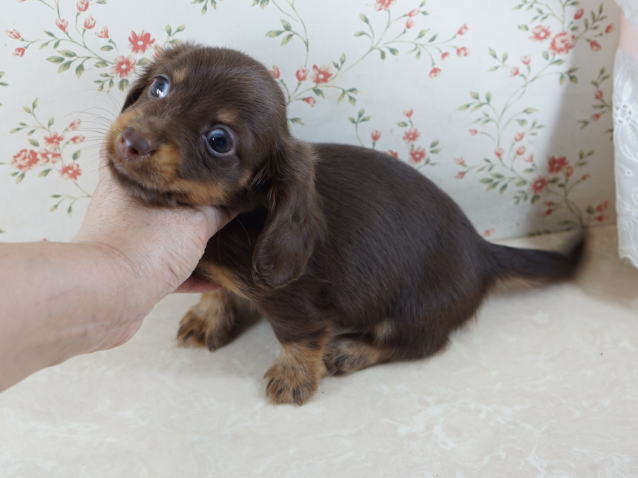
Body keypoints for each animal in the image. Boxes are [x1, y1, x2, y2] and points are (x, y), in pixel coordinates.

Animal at [107, 44, 588, 406]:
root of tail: (483, 250)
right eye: (160, 86)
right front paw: (208, 318)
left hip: (415, 311)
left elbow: (299, 339)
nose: (131, 142)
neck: (240, 221)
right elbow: (221, 291)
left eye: (219, 140)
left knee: (421, 343)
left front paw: (294, 379)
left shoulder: (297, 304)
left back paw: (351, 351)